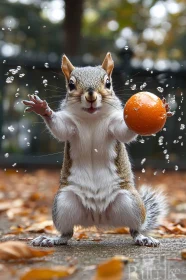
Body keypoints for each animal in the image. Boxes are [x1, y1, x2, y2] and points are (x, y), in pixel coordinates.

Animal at [22, 52, 168, 247]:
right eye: (71, 84)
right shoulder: (70, 126)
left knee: (134, 228)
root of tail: (98, 217)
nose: (91, 95)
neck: (92, 118)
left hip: (131, 203)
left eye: (108, 83)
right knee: (67, 233)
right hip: (63, 203)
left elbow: (124, 132)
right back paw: (53, 239)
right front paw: (43, 109)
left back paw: (142, 237)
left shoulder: (113, 126)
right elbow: (60, 128)